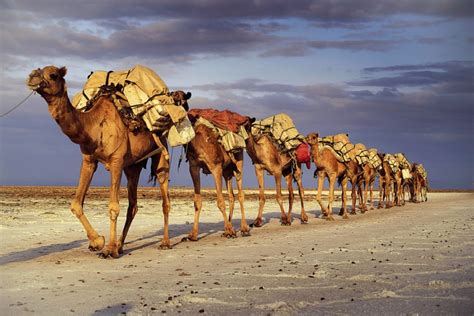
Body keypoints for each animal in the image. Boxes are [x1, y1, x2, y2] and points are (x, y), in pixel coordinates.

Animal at [26, 66, 191, 256]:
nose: (32, 77)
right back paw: (121, 245)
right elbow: (76, 204)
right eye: (37, 69)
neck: (94, 126)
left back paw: (164, 242)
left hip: (160, 151)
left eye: (53, 75)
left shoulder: (116, 161)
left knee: (165, 197)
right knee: (133, 205)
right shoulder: (89, 161)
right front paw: (98, 242)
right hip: (133, 166)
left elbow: (113, 207)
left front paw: (109, 249)